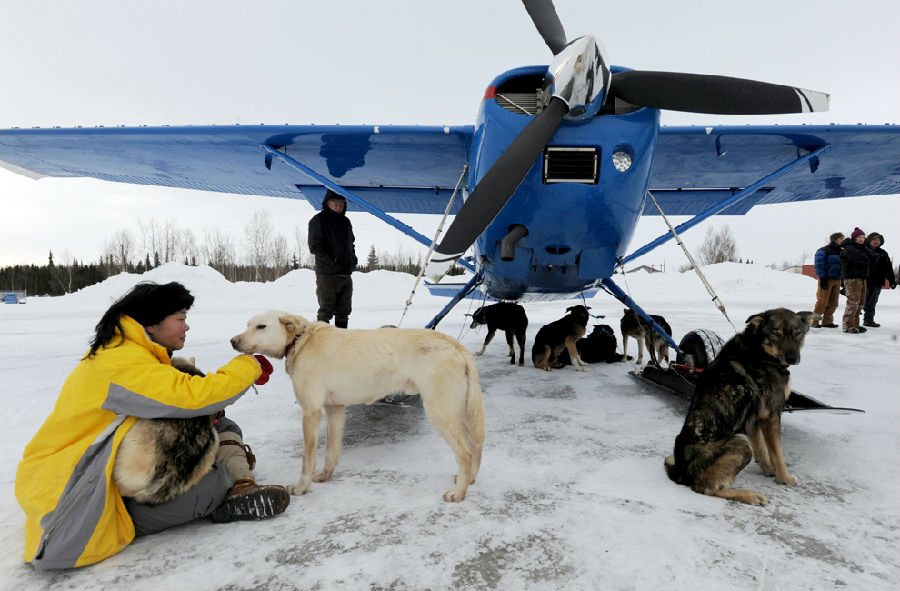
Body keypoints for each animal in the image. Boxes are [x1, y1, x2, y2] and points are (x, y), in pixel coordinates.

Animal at [230, 312, 486, 502]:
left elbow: (307, 459)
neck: (301, 340)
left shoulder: (311, 412)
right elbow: (331, 451)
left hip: (440, 411)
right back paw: (469, 480)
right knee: (475, 447)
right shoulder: (334, 409)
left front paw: (302, 487)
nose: (233, 341)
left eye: (261, 326)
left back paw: (459, 493)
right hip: (458, 412)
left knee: (465, 452)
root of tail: (454, 344)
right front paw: (324, 476)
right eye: (247, 325)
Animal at [660, 308, 824, 506]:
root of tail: (679, 473)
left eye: (798, 333)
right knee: (706, 488)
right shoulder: (771, 416)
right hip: (740, 442)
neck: (760, 350)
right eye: (775, 334)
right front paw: (785, 477)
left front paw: (769, 470)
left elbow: (761, 449)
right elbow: (778, 453)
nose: (792, 358)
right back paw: (750, 495)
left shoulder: (755, 418)